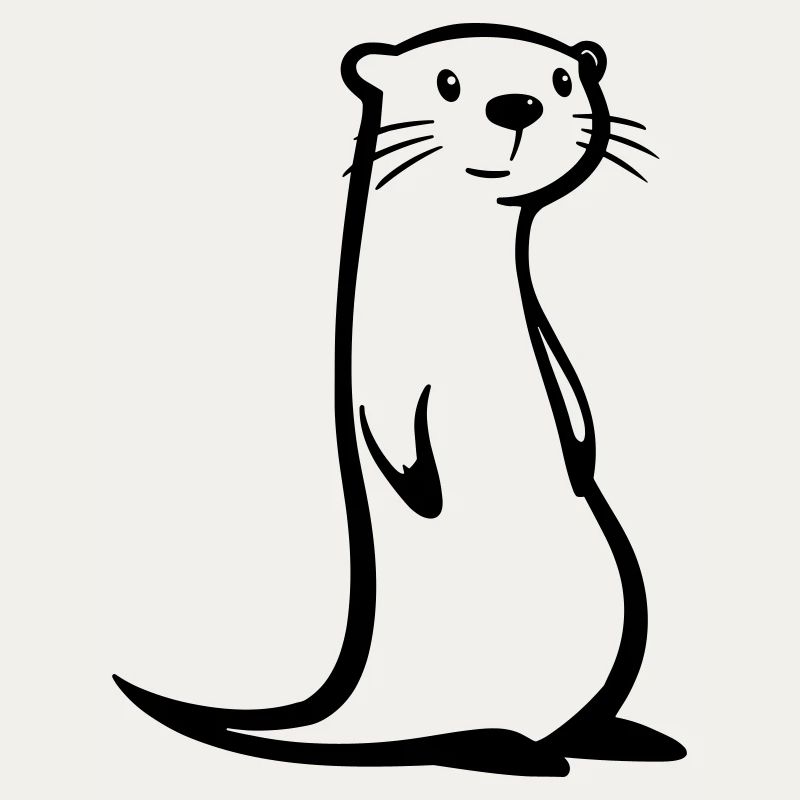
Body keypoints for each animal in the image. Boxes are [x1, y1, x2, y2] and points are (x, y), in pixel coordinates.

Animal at [113, 24, 686, 777]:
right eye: (448, 82)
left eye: (564, 80)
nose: (517, 104)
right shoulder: (389, 357)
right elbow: (387, 422)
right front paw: (418, 482)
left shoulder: (540, 333)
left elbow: (570, 389)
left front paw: (582, 454)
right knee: (453, 739)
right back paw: (512, 753)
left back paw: (616, 737)